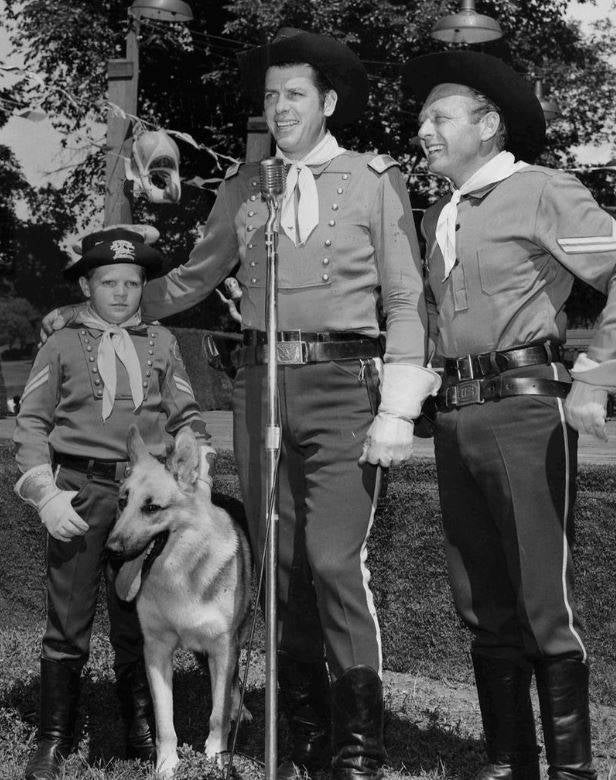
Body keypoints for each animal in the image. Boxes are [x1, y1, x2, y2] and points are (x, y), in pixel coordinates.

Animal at [106, 425, 252, 778]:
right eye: (122, 502)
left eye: (151, 508)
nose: (111, 552)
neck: (181, 571)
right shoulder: (156, 651)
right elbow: (164, 721)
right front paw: (166, 764)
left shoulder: (223, 647)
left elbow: (217, 713)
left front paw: (215, 757)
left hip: (239, 636)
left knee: (233, 684)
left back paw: (239, 709)